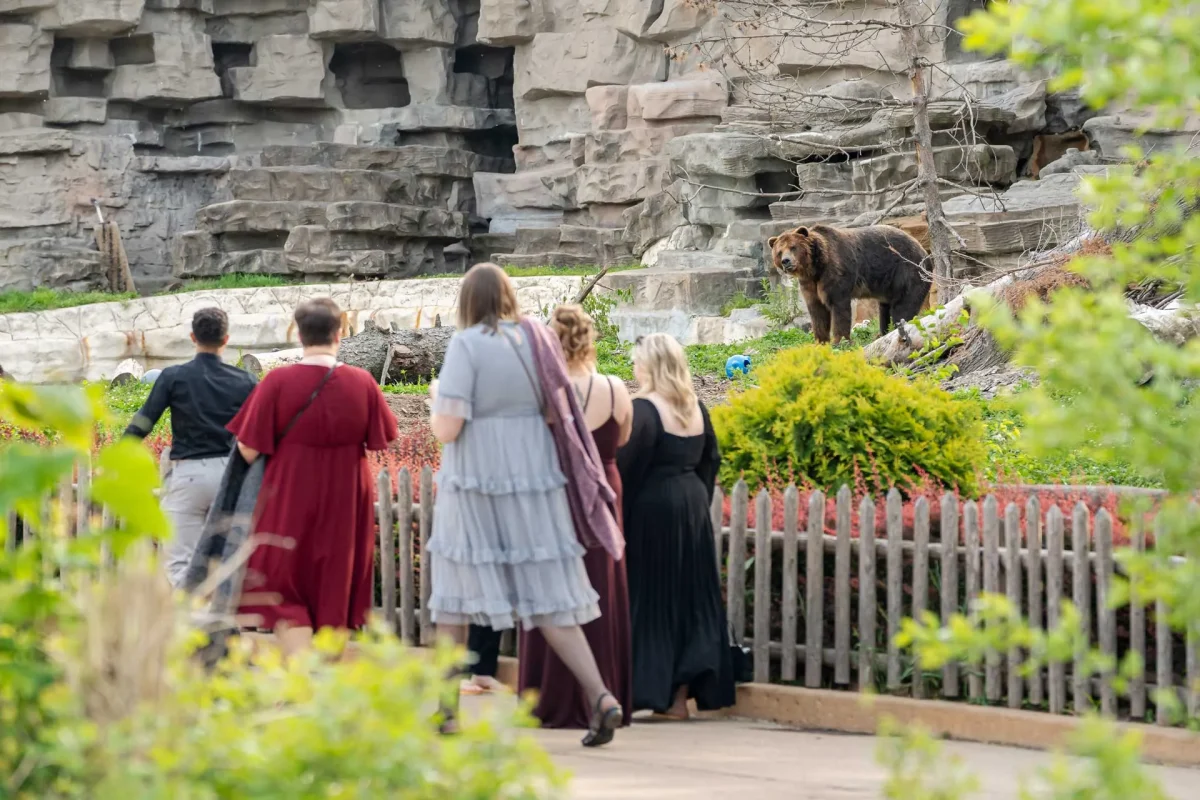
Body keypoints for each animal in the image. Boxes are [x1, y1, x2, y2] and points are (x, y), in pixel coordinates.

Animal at [768, 224, 931, 344]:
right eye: (779, 251)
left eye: (793, 247)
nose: (786, 261)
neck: (814, 267)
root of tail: (924, 252)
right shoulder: (810, 284)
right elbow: (817, 311)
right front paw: (820, 341)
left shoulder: (835, 272)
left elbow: (839, 308)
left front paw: (839, 341)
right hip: (887, 285)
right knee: (885, 309)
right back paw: (882, 333)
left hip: (906, 271)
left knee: (903, 307)